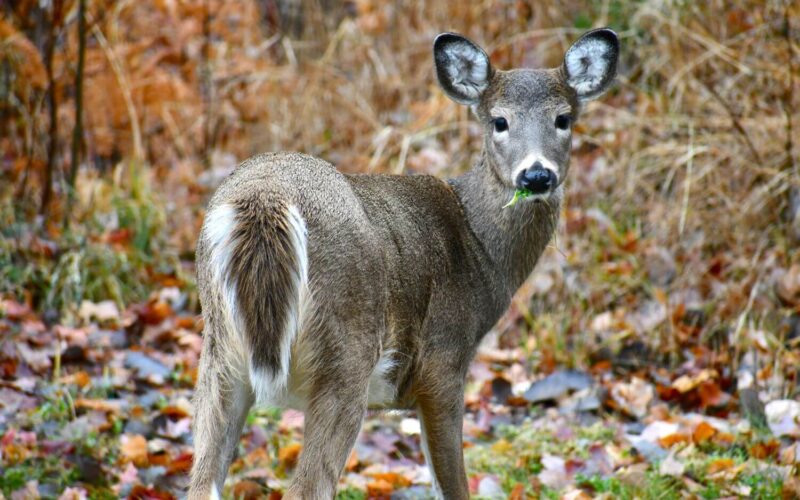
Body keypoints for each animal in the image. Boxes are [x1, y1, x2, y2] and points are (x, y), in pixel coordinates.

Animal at [188, 28, 619, 499]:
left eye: (564, 118)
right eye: (499, 121)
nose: (536, 175)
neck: (479, 246)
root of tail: (264, 200)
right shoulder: (443, 362)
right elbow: (453, 486)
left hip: (220, 355)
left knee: (202, 482)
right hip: (346, 353)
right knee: (308, 487)